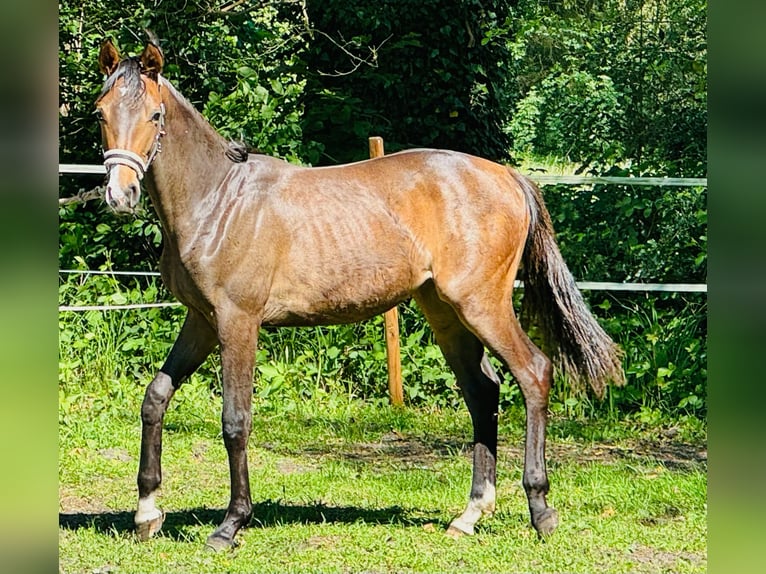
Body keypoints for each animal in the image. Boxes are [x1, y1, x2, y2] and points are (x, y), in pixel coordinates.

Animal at [94, 40, 624, 552]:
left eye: (155, 116)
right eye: (101, 112)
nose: (120, 195)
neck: (218, 200)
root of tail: (508, 177)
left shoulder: (237, 322)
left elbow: (235, 421)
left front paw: (230, 526)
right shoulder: (201, 321)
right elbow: (155, 397)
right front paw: (147, 513)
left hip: (482, 305)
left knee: (533, 373)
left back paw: (541, 511)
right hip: (445, 312)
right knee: (482, 390)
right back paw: (470, 515)